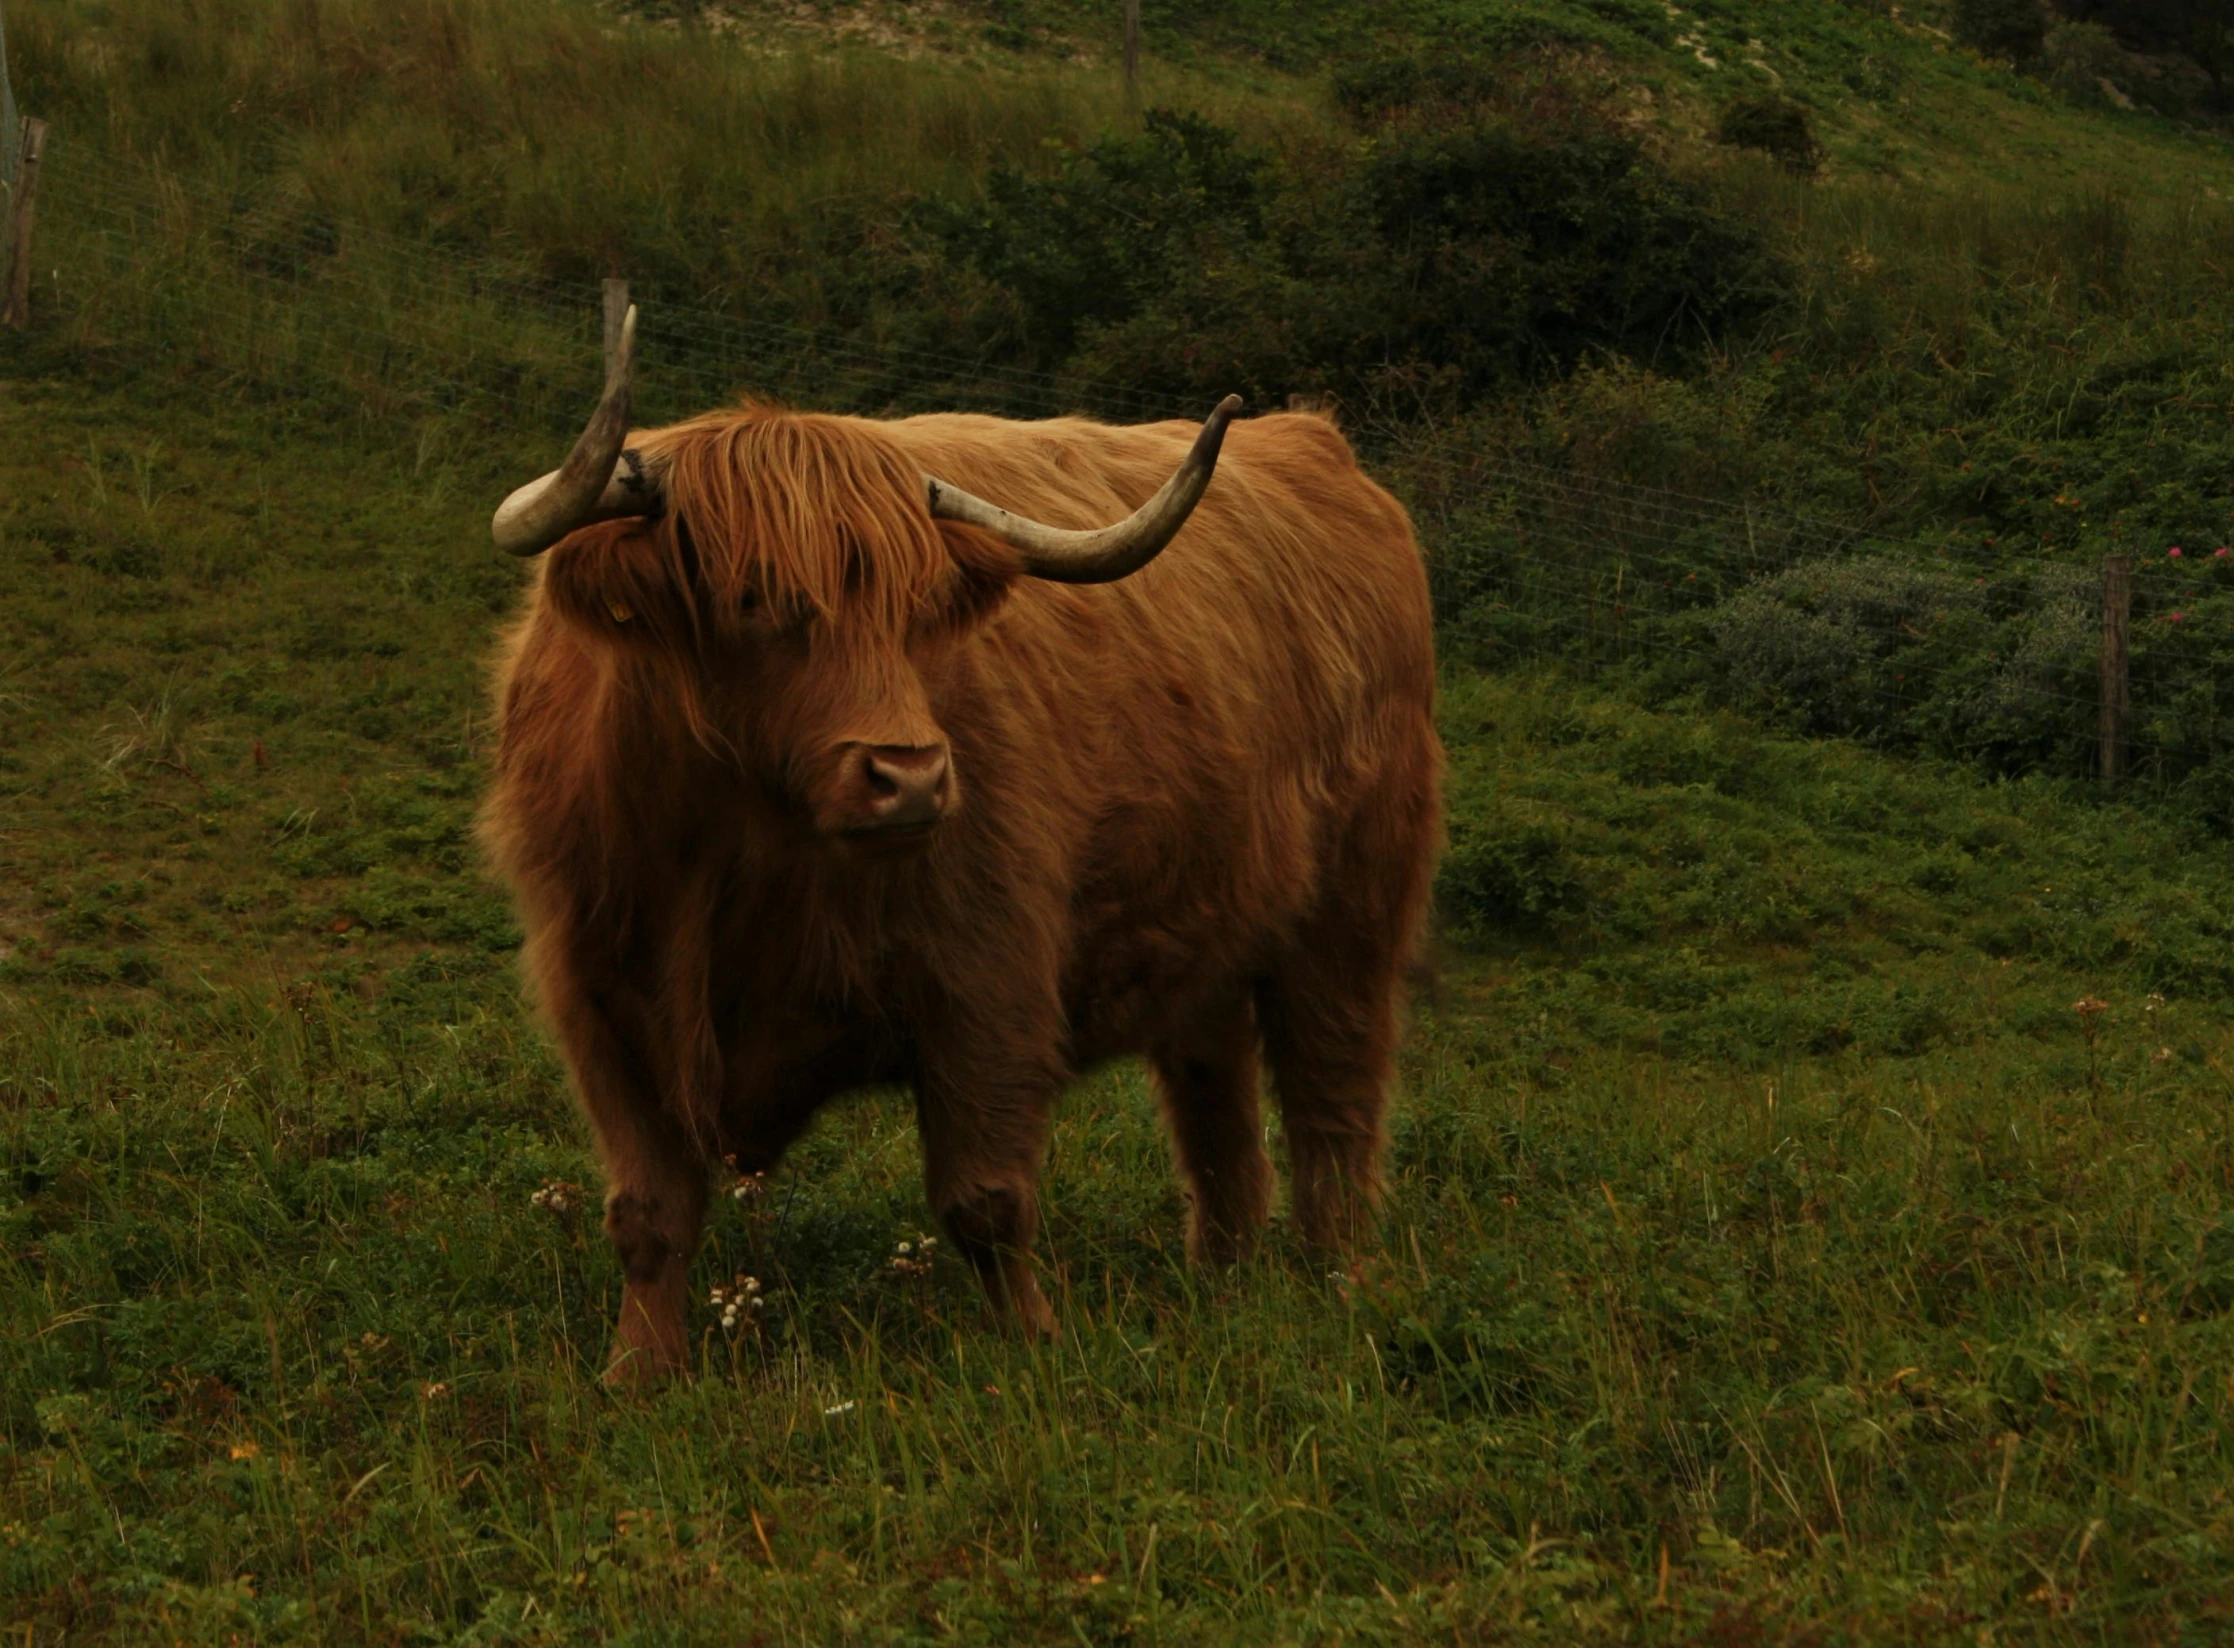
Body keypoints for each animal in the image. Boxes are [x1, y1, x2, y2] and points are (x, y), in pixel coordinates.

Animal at [480, 310, 1438, 1384]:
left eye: (913, 608)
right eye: (751, 597)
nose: (911, 777)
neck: (736, 863)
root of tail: (1315, 443)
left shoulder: (989, 982)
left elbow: (985, 1202)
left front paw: (1035, 1347)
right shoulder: (603, 999)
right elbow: (649, 1212)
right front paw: (638, 1372)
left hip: (1355, 901)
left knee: (1334, 1087)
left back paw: (1335, 1280)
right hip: (1208, 916)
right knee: (1216, 1097)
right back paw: (1225, 1278)